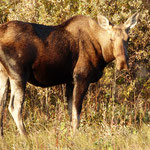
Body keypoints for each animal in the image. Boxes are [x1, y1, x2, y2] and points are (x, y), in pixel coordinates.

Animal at [0, 13, 138, 137]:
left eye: (128, 39)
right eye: (111, 39)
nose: (123, 64)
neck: (102, 52)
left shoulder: (70, 82)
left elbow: (71, 112)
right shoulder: (81, 78)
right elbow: (77, 113)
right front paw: (74, 136)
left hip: (4, 75)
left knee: (2, 104)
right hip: (18, 75)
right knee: (14, 107)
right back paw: (26, 137)